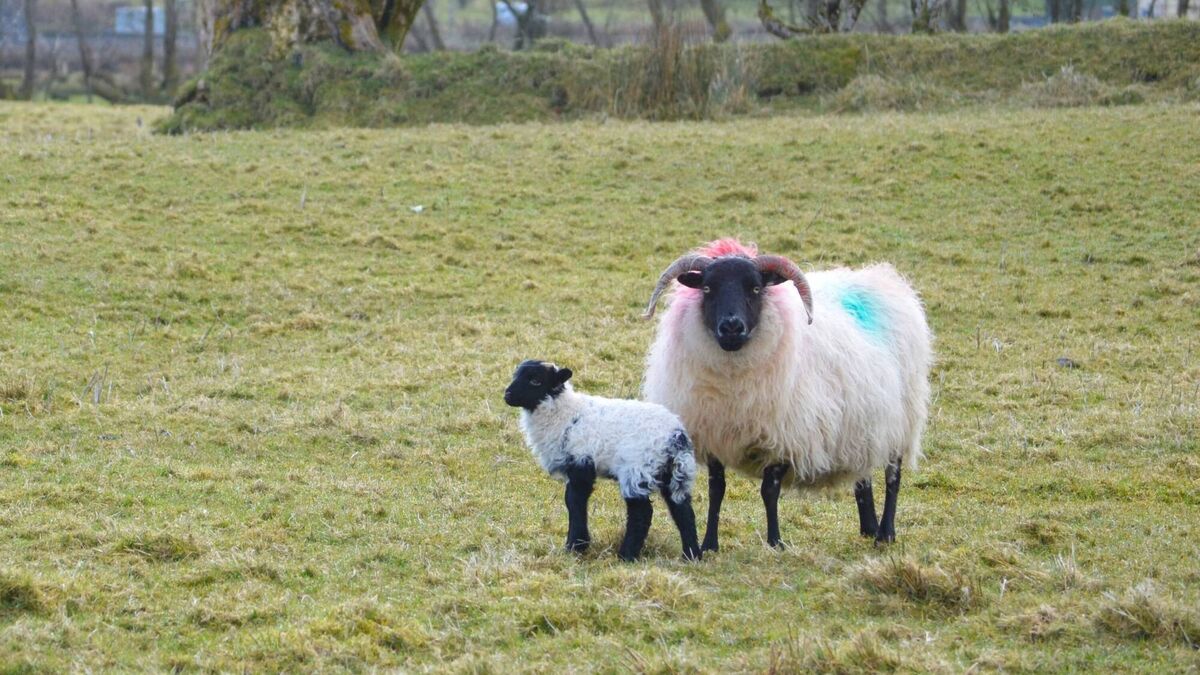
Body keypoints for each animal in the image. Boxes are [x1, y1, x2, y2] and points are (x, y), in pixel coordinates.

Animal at [503, 359, 702, 561]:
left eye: (535, 381)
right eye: (516, 375)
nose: (507, 395)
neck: (565, 414)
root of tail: (676, 436)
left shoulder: (581, 462)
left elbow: (574, 501)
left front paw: (575, 546)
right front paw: (578, 544)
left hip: (637, 468)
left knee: (642, 512)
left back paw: (627, 555)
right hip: (672, 472)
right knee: (682, 511)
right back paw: (691, 555)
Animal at [641, 238, 932, 550]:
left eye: (756, 288)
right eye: (707, 288)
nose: (731, 327)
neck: (732, 386)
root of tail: (880, 278)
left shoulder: (784, 434)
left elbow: (769, 491)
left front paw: (774, 543)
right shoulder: (711, 433)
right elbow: (716, 490)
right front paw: (709, 545)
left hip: (902, 420)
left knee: (893, 477)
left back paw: (885, 534)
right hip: (860, 425)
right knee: (862, 475)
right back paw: (868, 527)